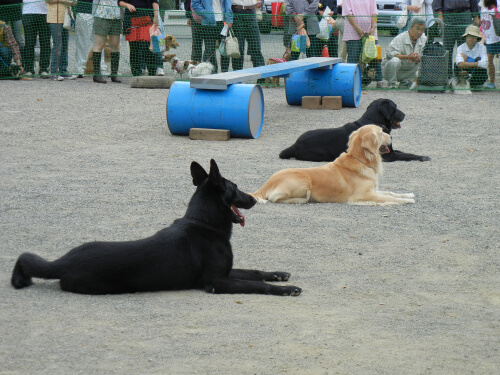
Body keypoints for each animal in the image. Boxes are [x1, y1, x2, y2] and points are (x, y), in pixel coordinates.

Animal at [11, 160, 300, 298]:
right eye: (236, 188)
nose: (253, 199)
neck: (203, 222)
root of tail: (62, 262)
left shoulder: (227, 272)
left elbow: (254, 272)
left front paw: (277, 274)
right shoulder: (217, 282)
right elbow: (254, 285)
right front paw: (284, 290)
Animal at [250, 127, 414, 209]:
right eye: (381, 133)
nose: (391, 137)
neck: (360, 160)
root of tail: (267, 183)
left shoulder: (372, 190)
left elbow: (390, 193)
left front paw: (407, 195)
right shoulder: (362, 195)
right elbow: (387, 197)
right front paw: (405, 201)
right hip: (303, 181)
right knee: (275, 198)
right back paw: (301, 200)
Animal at [280, 98, 432, 163]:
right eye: (395, 107)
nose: (404, 114)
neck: (373, 121)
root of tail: (296, 144)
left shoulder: (390, 150)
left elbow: (403, 151)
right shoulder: (388, 156)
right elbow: (406, 155)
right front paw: (422, 157)